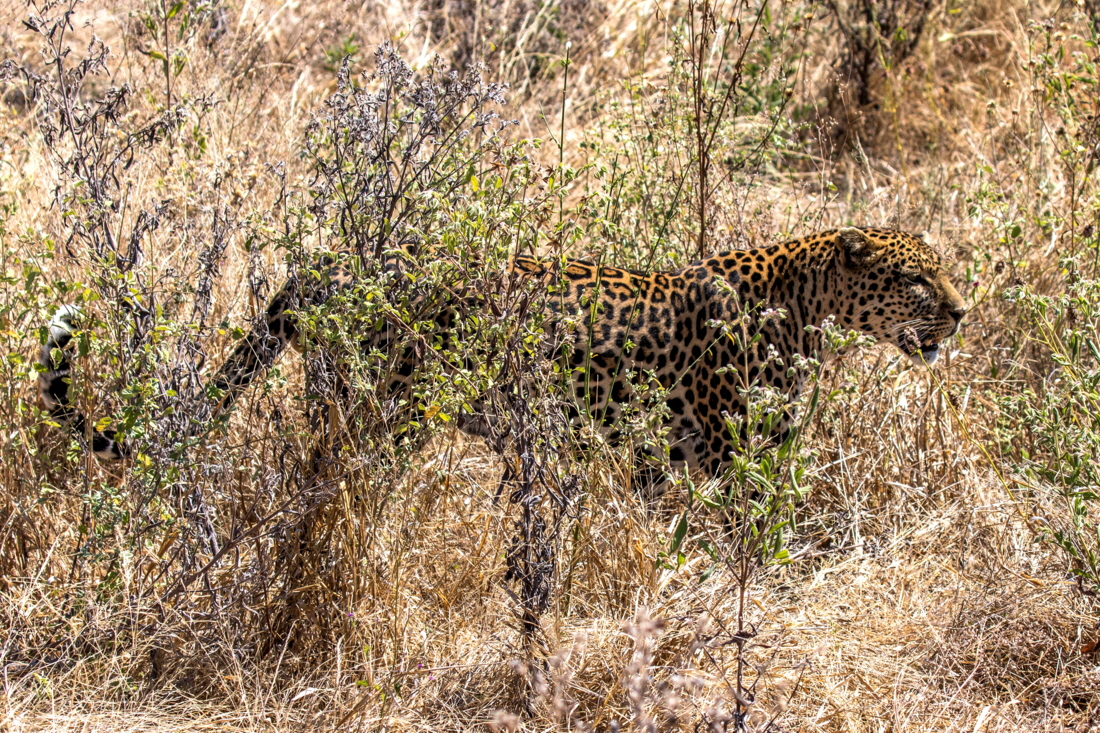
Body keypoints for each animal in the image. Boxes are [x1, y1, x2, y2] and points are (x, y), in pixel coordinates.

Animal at [38, 227, 967, 479]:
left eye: (942, 270)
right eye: (915, 280)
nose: (962, 312)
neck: (806, 300)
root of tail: (327, 266)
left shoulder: (662, 455)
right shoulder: (730, 449)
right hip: (380, 407)